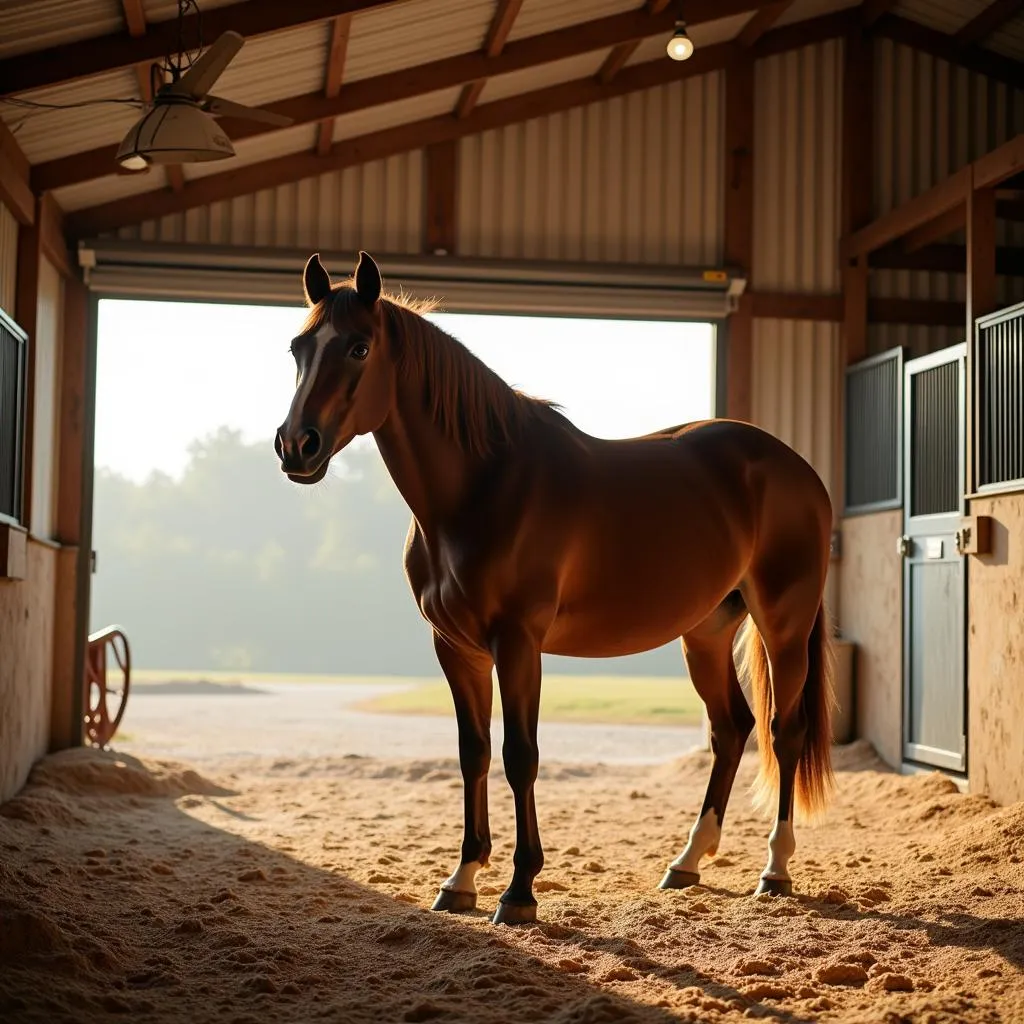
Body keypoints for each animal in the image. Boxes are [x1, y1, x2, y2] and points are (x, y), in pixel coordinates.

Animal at [276, 249, 835, 929]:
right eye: (298, 347)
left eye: (358, 347)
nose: (295, 445)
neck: (482, 488)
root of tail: (796, 469)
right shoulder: (456, 648)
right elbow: (473, 752)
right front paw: (461, 880)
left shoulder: (519, 644)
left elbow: (521, 755)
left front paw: (519, 891)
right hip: (704, 632)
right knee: (731, 728)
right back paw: (685, 863)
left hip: (784, 624)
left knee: (785, 731)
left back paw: (774, 871)